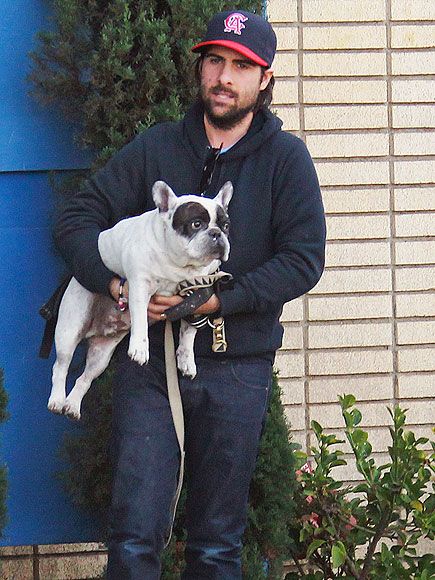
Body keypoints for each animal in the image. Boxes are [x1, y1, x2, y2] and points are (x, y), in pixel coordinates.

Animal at [46, 179, 233, 420]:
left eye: (226, 226)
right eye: (196, 224)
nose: (217, 233)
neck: (179, 267)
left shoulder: (197, 295)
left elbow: (188, 332)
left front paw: (186, 359)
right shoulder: (139, 287)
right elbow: (141, 320)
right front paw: (140, 348)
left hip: (101, 357)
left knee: (85, 377)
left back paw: (72, 405)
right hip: (69, 331)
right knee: (60, 367)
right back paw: (57, 400)